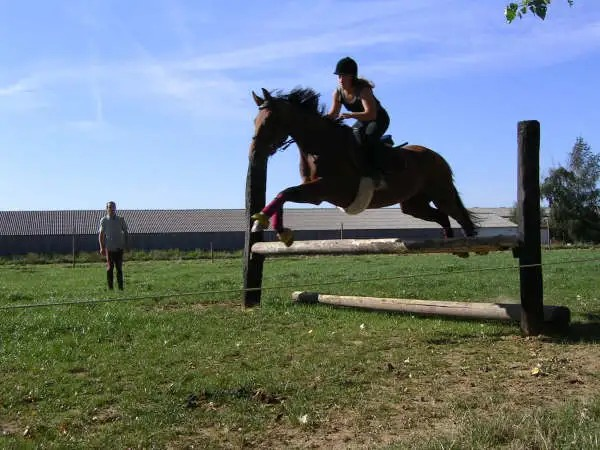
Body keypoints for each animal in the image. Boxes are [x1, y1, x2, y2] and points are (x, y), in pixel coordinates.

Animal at [247, 85, 474, 244]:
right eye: (254, 121)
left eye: (269, 121)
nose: (254, 154)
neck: (320, 145)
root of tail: (438, 157)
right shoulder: (317, 195)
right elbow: (283, 194)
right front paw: (271, 227)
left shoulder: (330, 188)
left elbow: (285, 192)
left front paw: (262, 222)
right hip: (413, 204)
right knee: (442, 216)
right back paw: (454, 245)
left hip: (441, 193)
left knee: (459, 217)